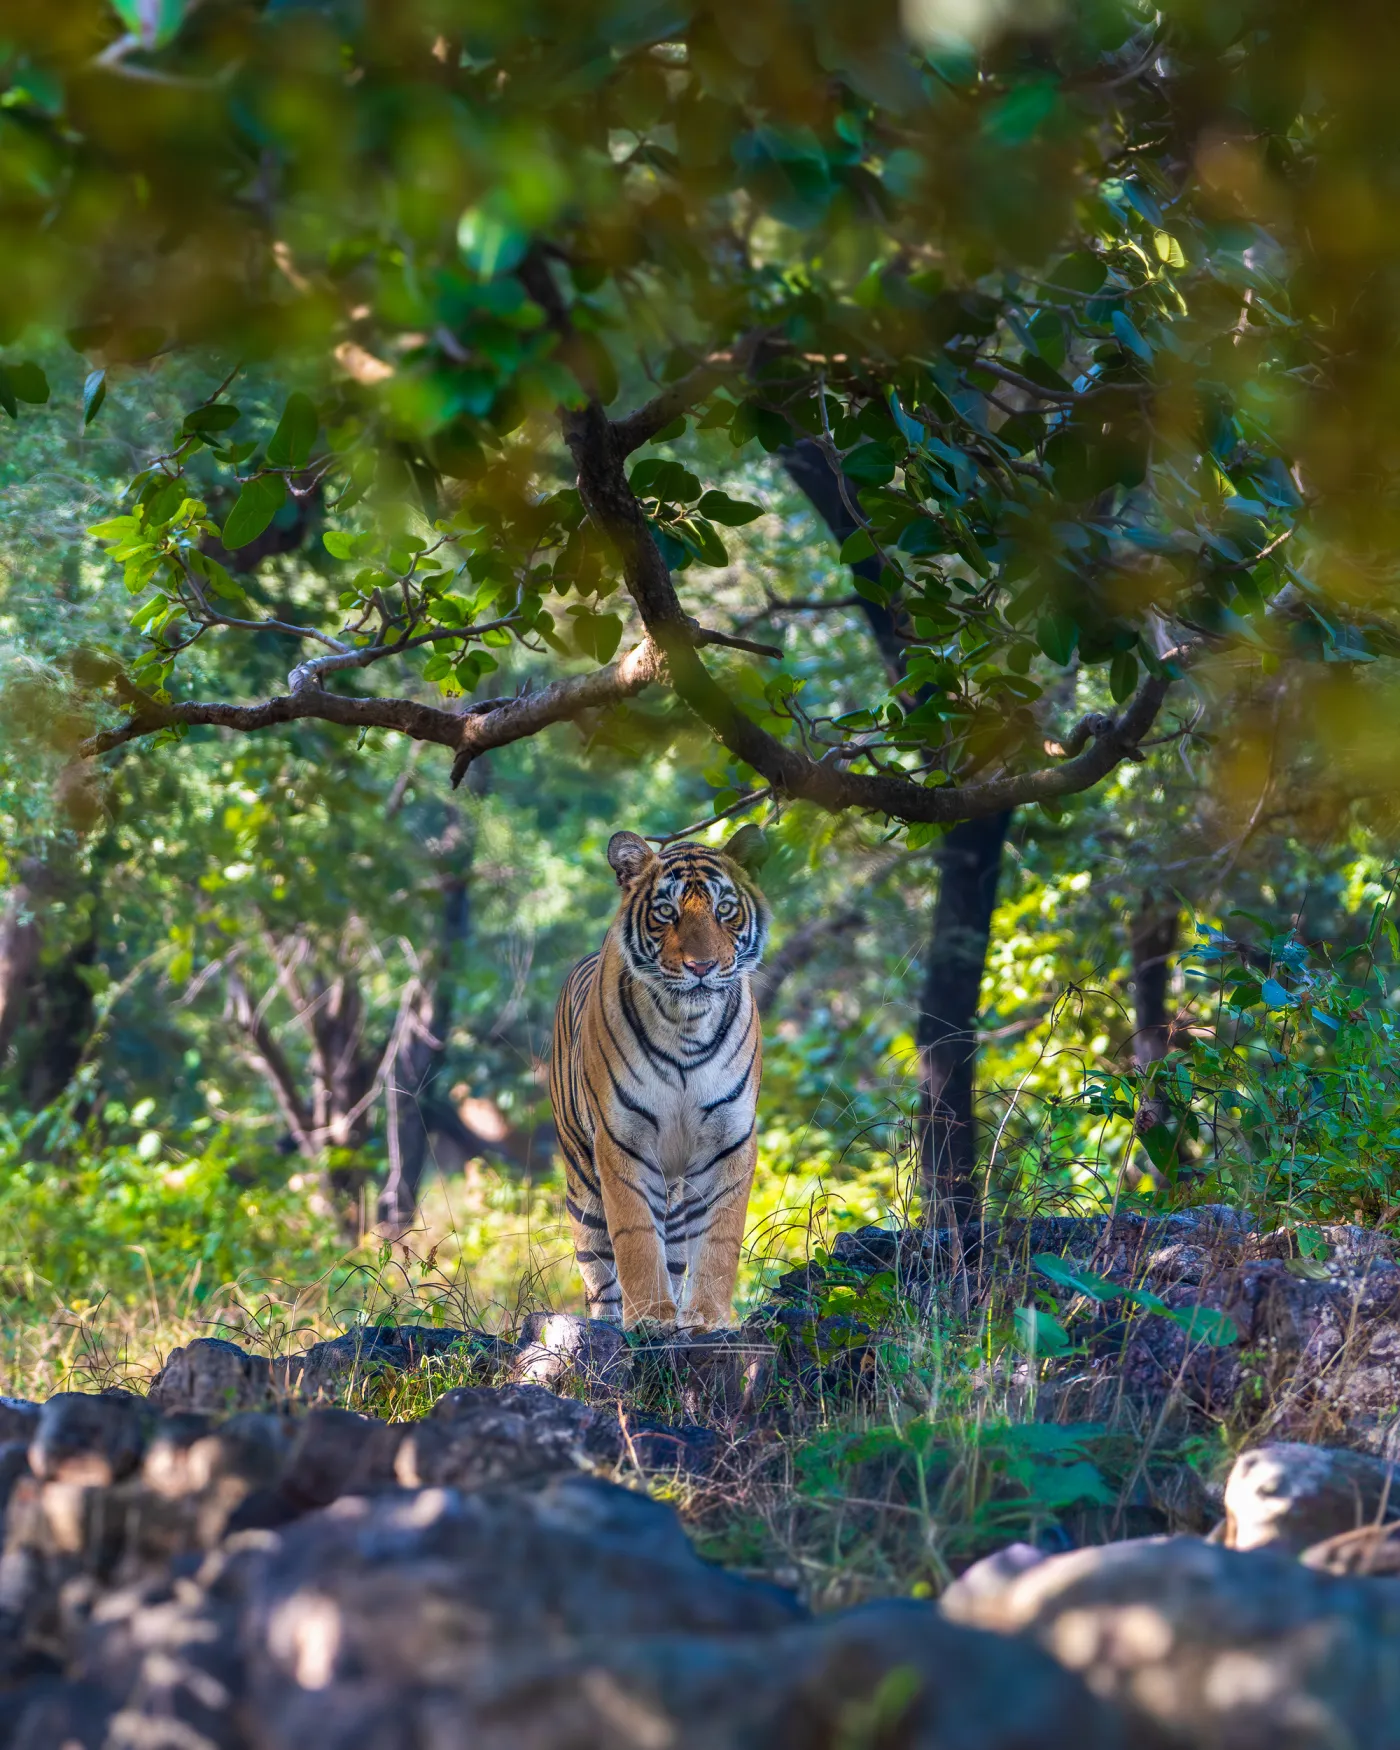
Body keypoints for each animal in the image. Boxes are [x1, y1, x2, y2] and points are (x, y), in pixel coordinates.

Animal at [549, 825, 771, 1333]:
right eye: (666, 912)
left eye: (723, 909)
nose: (701, 967)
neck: (686, 1027)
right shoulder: (622, 1141)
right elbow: (634, 1237)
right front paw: (650, 1316)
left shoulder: (729, 1138)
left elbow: (719, 1240)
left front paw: (706, 1317)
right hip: (582, 1185)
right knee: (600, 1271)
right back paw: (607, 1324)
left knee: (673, 1248)